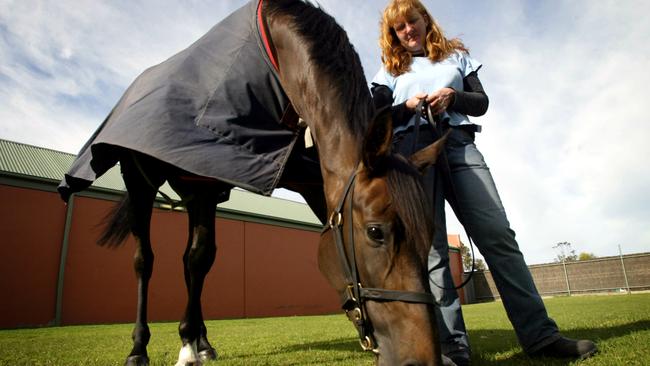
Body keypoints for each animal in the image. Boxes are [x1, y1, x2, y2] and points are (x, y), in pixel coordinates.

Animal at [58, 0, 446, 366]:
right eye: (376, 232)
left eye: (428, 235)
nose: (422, 358)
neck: (279, 59)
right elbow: (182, 260)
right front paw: (182, 347)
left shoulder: (306, 178)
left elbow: (199, 260)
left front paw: (192, 342)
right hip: (141, 180)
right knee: (145, 260)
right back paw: (141, 347)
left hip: (197, 193)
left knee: (191, 260)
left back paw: (202, 341)